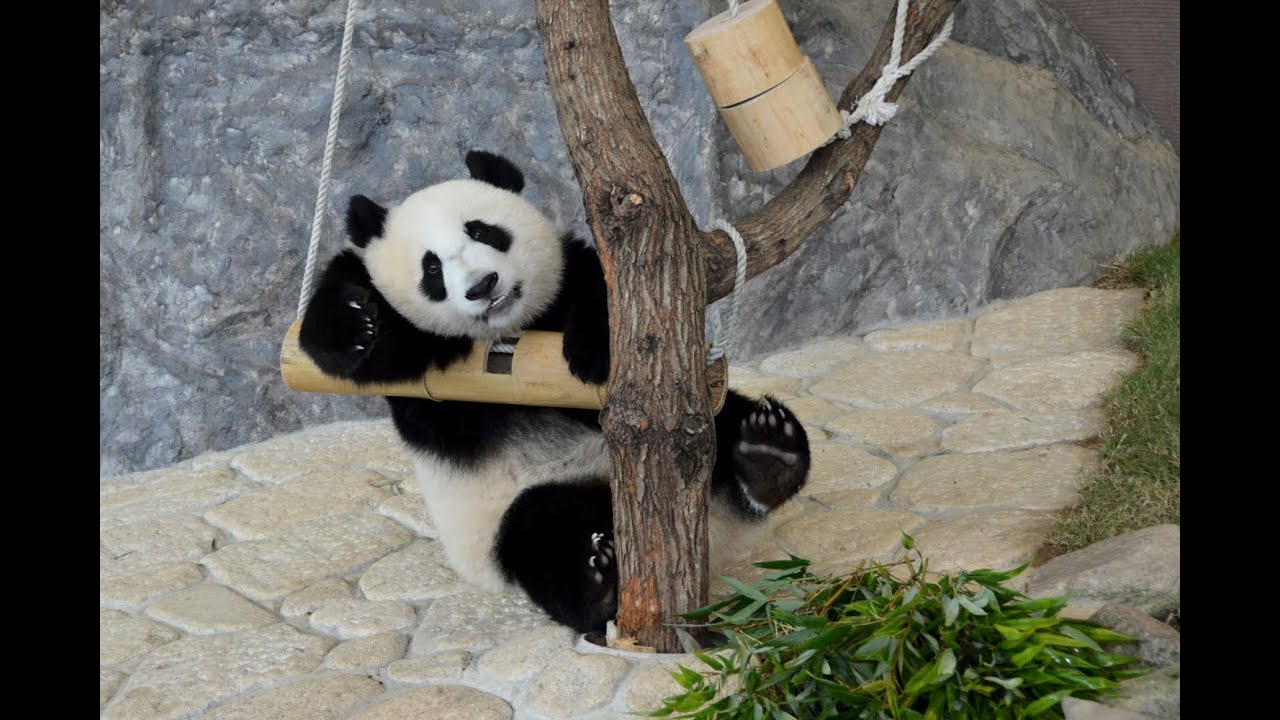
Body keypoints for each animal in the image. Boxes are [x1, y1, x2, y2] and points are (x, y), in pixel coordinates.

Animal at [299, 150, 811, 634]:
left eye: (484, 232)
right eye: (431, 267)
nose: (483, 286)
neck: (513, 330)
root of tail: (715, 529)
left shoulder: (570, 278)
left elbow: (609, 293)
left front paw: (595, 351)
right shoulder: (433, 386)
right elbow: (354, 345)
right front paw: (352, 323)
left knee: (718, 425)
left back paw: (768, 454)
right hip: (513, 516)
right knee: (541, 535)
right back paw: (599, 582)